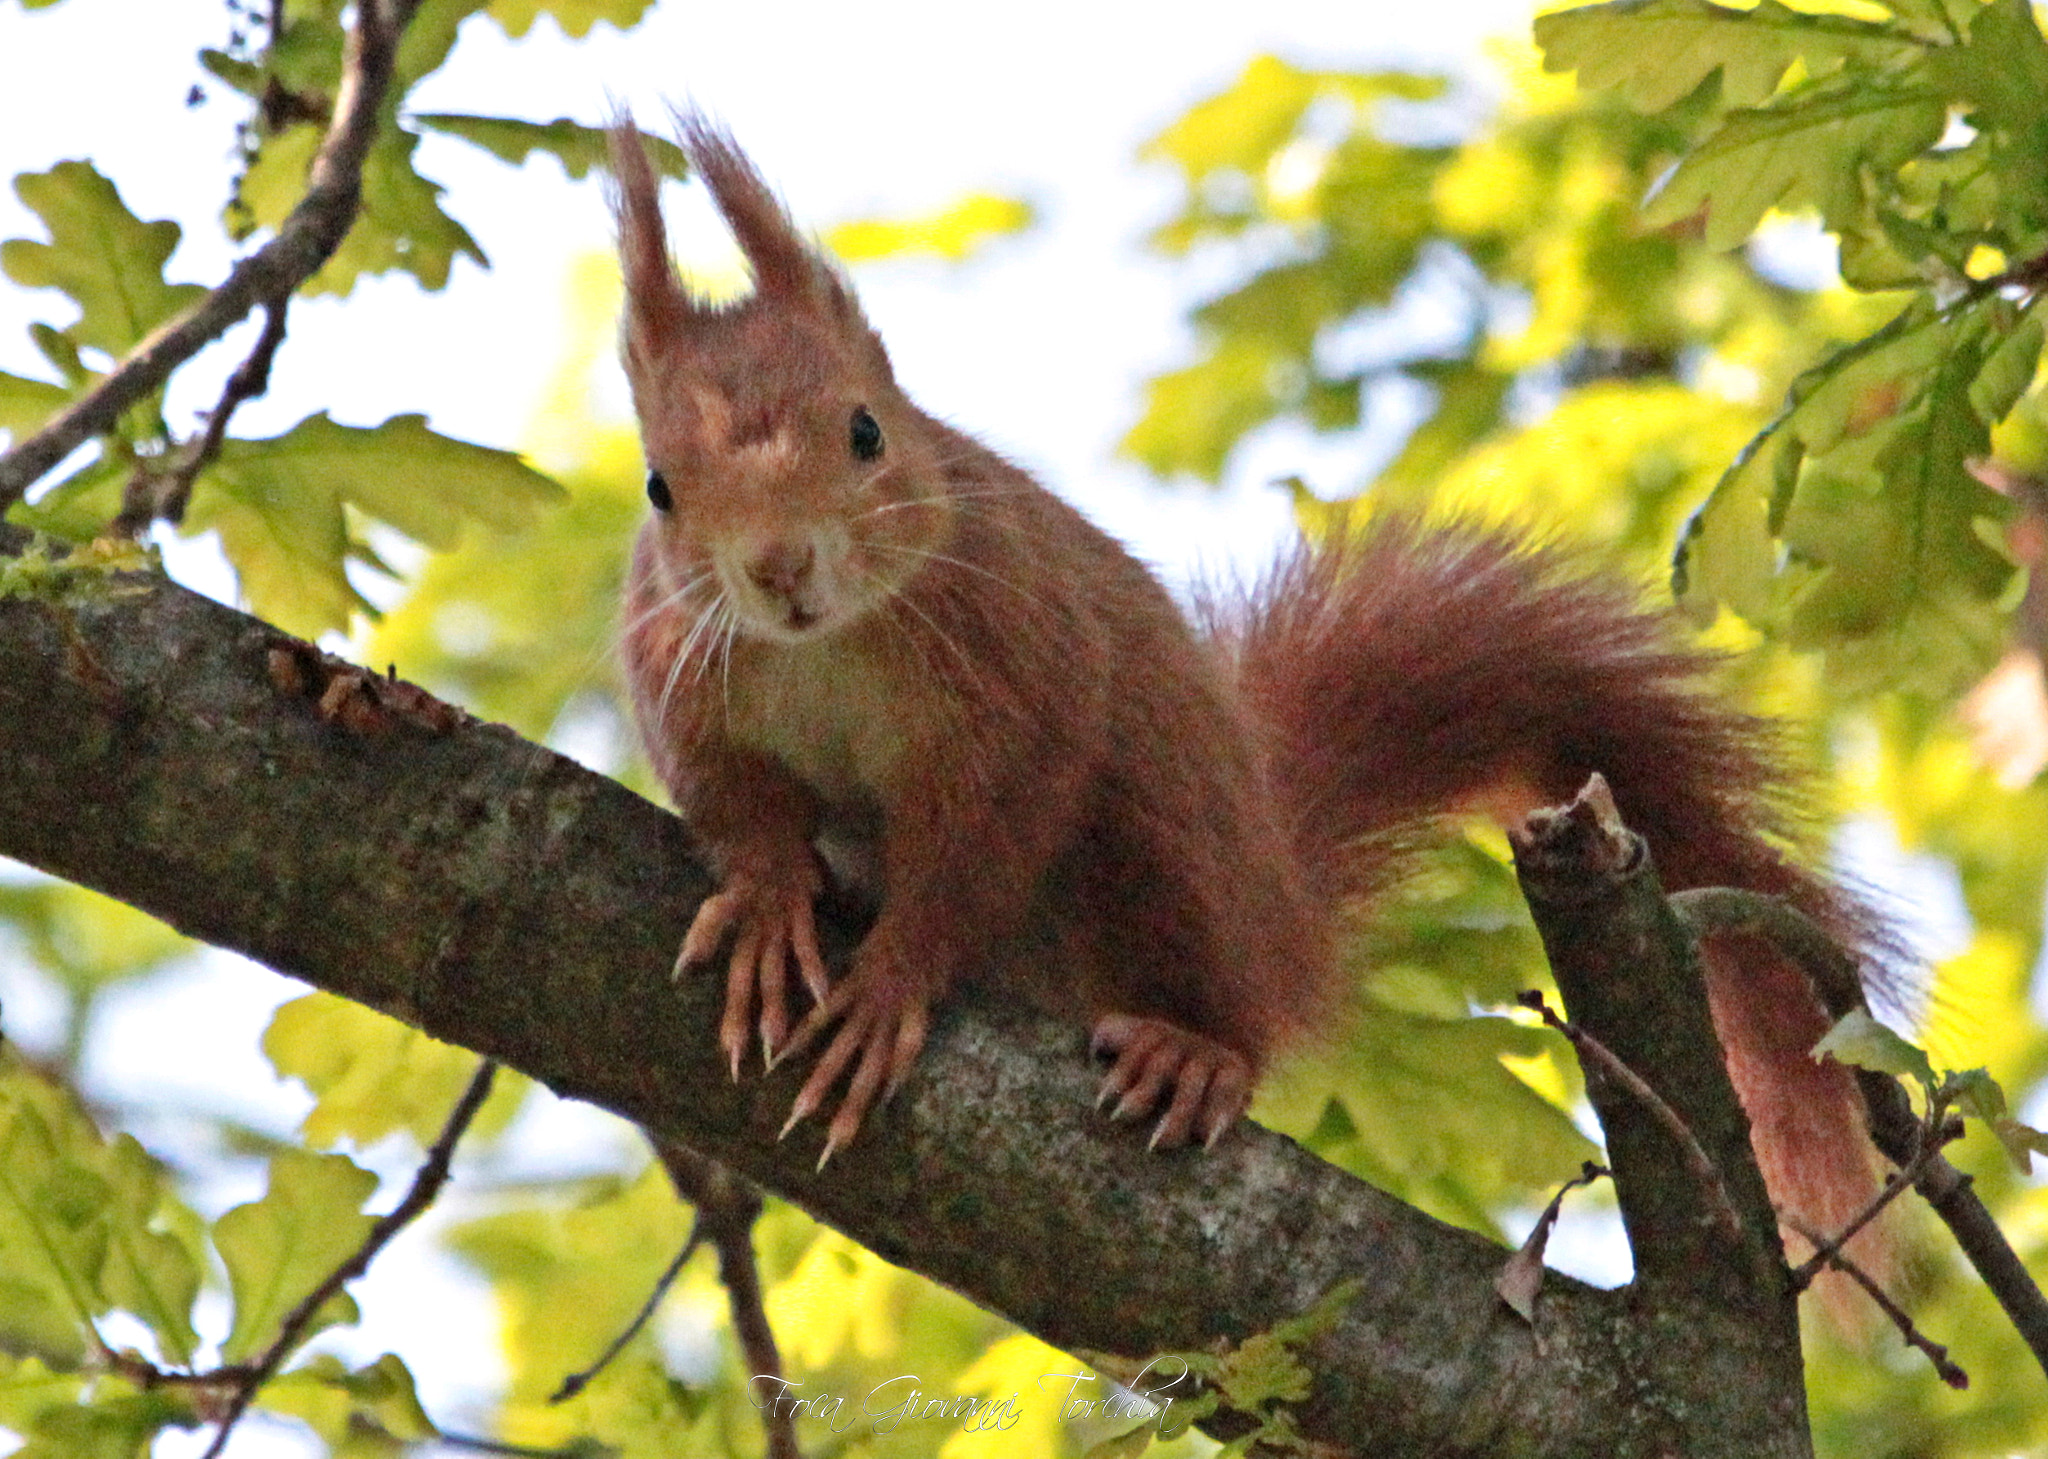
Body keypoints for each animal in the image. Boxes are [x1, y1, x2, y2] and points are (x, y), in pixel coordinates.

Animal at [606, 114, 1889, 1252]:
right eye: (660, 487)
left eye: (867, 432)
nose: (779, 568)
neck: (824, 641)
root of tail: (1279, 901)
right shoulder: (681, 682)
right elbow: (734, 803)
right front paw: (768, 897)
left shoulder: (1023, 669)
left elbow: (981, 839)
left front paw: (887, 985)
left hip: (1172, 839)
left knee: (1225, 984)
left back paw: (1196, 1050)